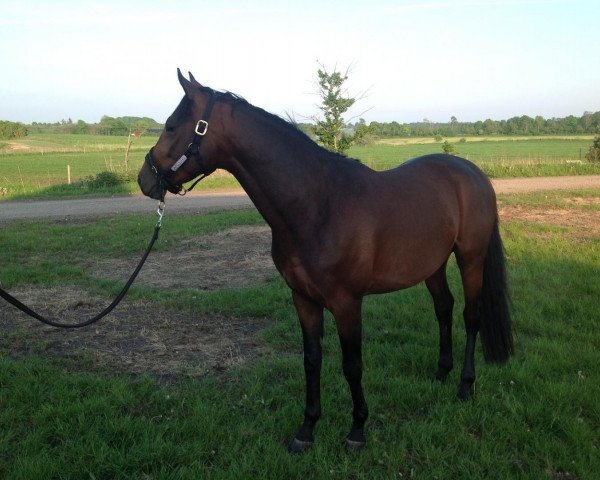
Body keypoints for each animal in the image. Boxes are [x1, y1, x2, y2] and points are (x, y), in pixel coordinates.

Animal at [138, 69, 512, 452]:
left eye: (171, 126)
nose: (144, 179)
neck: (318, 205)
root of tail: (471, 172)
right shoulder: (303, 299)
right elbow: (312, 361)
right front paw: (306, 430)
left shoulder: (347, 303)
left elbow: (352, 365)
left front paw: (357, 430)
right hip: (432, 264)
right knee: (443, 309)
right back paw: (440, 373)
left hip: (470, 259)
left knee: (470, 316)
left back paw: (465, 385)